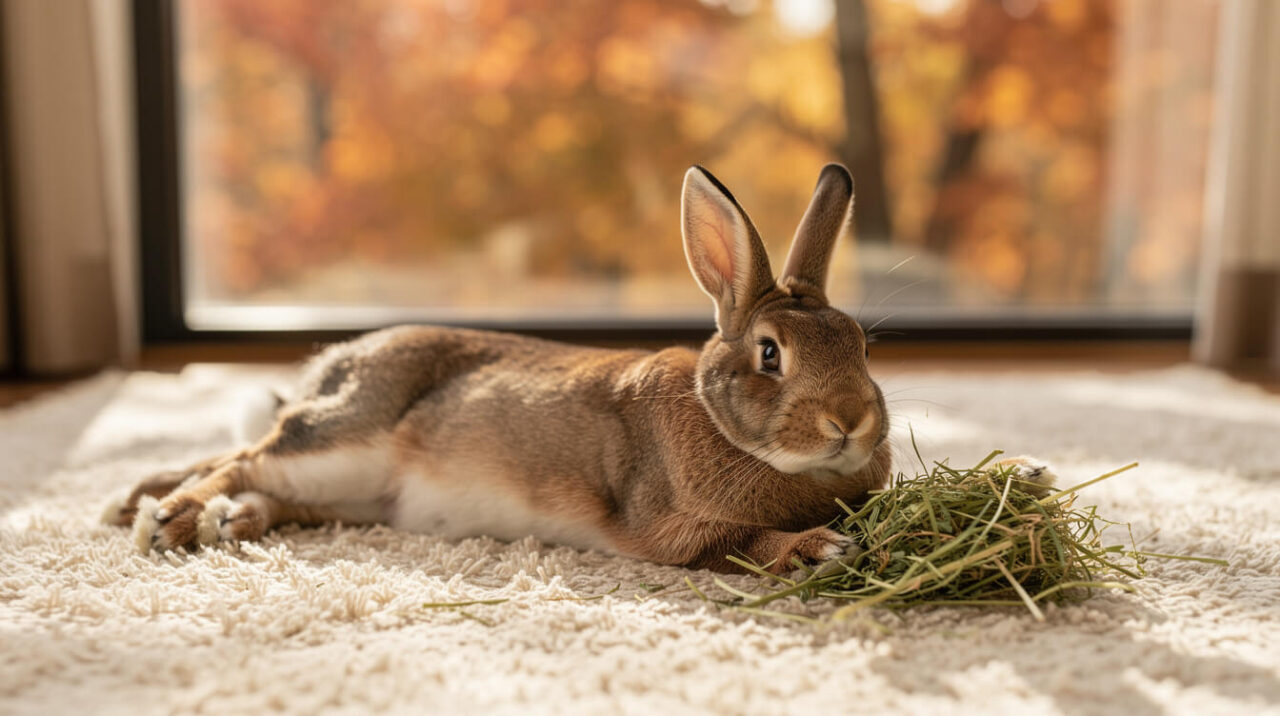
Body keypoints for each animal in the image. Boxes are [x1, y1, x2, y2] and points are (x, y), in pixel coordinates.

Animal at [104, 163, 1053, 573]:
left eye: (861, 343)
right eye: (769, 355)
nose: (850, 422)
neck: (727, 429)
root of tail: (325, 369)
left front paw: (1026, 476)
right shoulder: (670, 529)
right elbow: (743, 543)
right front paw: (820, 546)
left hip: (350, 488)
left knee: (267, 483)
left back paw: (216, 520)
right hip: (346, 434)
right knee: (243, 458)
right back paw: (169, 521)